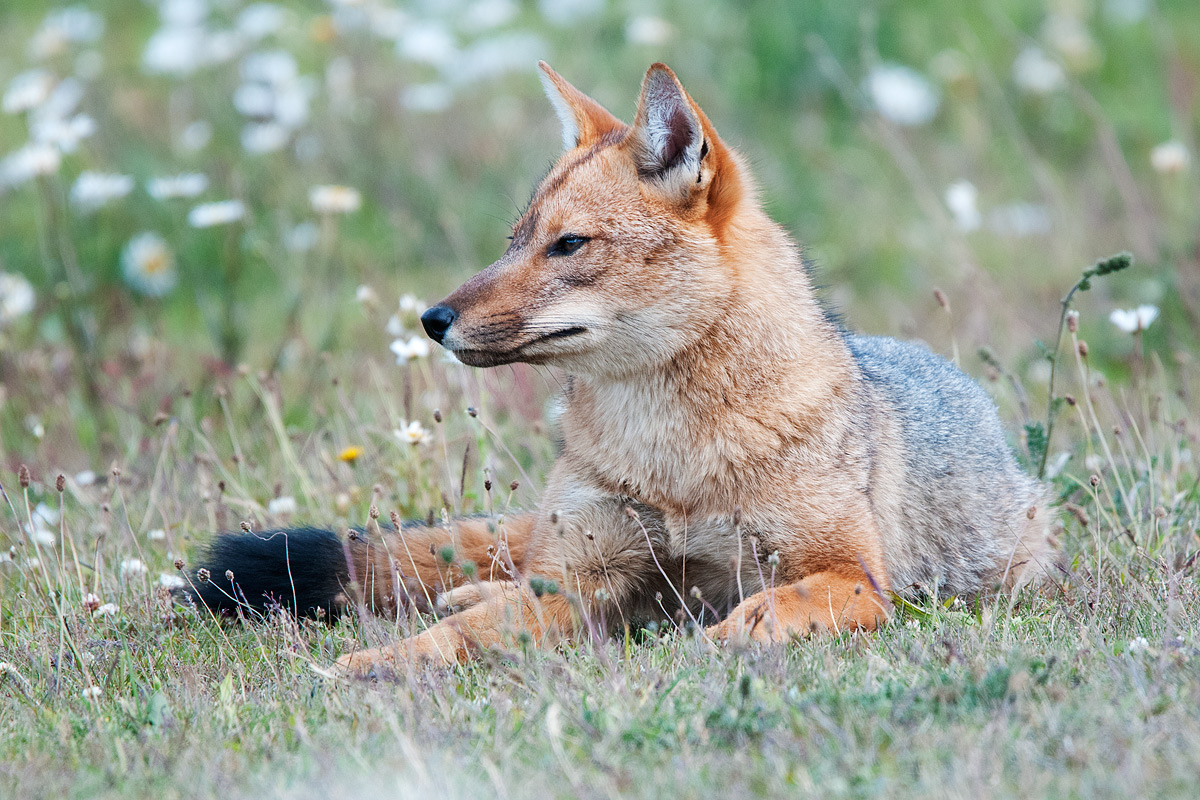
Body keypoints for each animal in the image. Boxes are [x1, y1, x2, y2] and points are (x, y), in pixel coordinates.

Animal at [184, 62, 1057, 674]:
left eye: (568, 245)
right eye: (515, 240)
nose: (432, 321)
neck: (671, 463)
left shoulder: (852, 571)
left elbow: (785, 602)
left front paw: (740, 633)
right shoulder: (583, 581)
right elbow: (462, 632)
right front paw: (377, 665)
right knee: (497, 575)